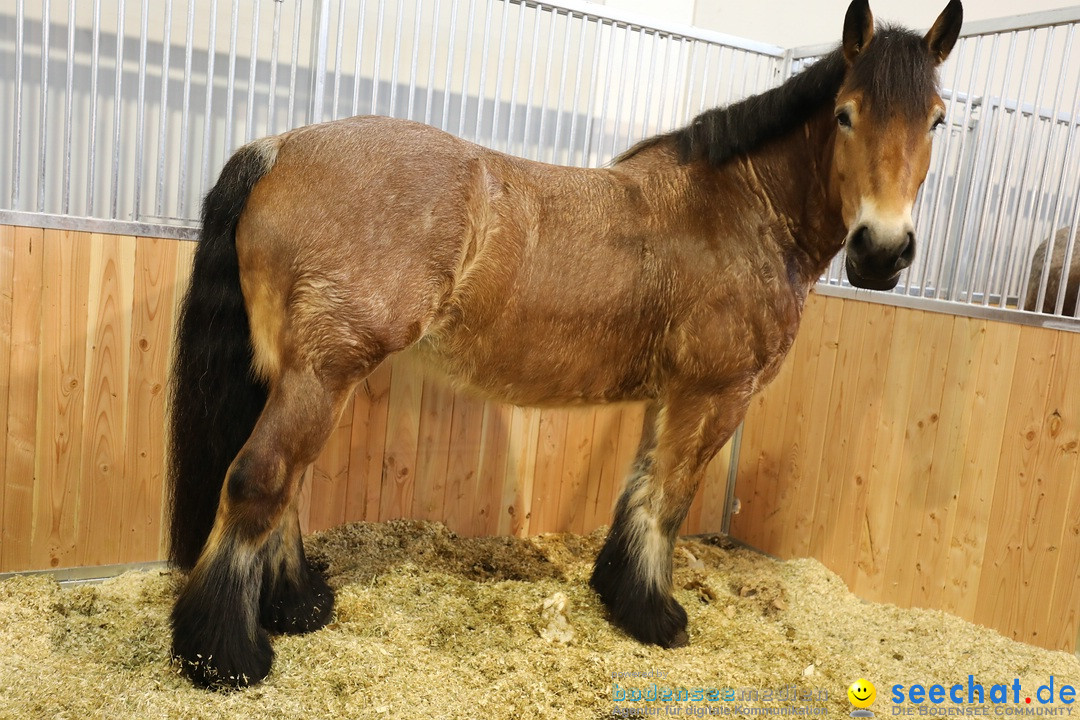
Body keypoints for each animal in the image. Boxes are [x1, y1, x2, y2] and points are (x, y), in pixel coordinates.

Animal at [166, 0, 963, 690]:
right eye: (845, 114)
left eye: (937, 119)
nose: (883, 251)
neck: (740, 210)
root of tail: (279, 148)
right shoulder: (716, 392)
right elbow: (670, 499)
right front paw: (656, 617)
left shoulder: (672, 394)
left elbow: (640, 485)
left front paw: (618, 594)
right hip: (324, 373)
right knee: (259, 480)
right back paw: (226, 656)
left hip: (298, 374)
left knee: (284, 489)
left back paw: (296, 607)